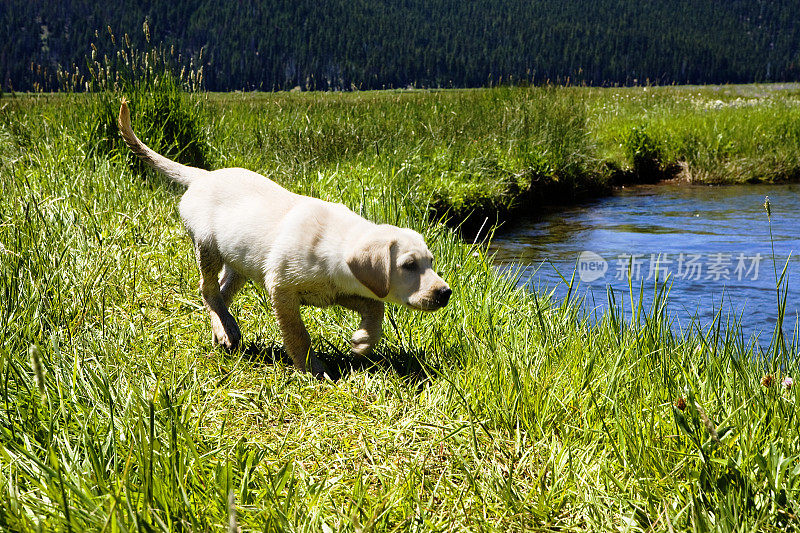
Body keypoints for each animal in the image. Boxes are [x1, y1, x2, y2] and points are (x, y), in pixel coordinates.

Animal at [117, 100, 450, 374]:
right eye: (408, 266)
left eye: (431, 262)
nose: (445, 293)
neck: (334, 242)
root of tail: (204, 175)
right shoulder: (281, 289)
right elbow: (297, 333)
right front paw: (313, 369)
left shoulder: (339, 290)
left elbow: (376, 307)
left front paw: (363, 340)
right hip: (207, 247)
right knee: (207, 289)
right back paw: (226, 329)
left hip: (240, 261)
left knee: (220, 293)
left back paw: (223, 330)